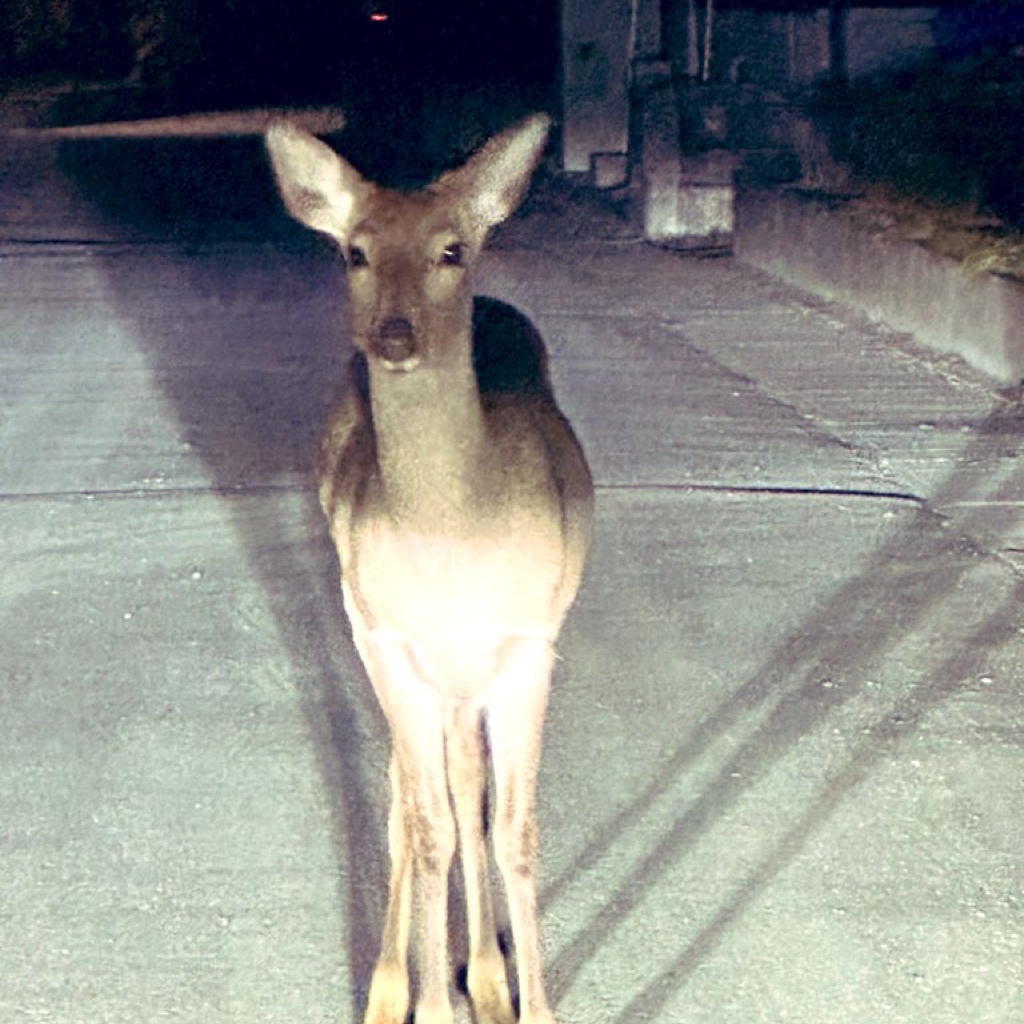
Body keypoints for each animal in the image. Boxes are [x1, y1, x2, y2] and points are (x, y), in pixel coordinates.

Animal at [265, 114, 593, 1024]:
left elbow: (511, 829)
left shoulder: (530, 639)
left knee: (463, 780)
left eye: (452, 249)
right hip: (375, 626)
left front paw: (526, 1003)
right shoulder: (387, 637)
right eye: (355, 252)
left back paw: (485, 974)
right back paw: (395, 984)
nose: (395, 334)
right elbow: (427, 823)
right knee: (409, 797)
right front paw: (425, 998)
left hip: (466, 668)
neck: (454, 536)